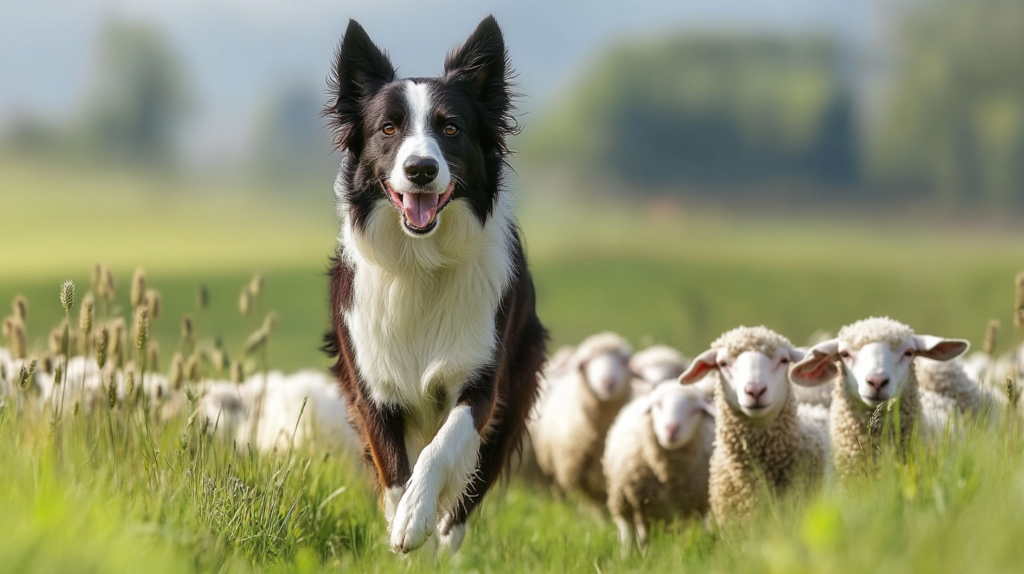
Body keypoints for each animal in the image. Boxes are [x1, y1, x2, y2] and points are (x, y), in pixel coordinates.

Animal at [323, 17, 548, 552]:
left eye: (451, 128)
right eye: (388, 128)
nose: (421, 169)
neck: (420, 261)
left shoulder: (481, 379)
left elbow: (443, 448)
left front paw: (416, 519)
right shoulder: (372, 386)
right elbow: (394, 474)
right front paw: (404, 526)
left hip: (515, 390)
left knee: (466, 499)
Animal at [598, 378, 712, 552]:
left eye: (696, 410)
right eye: (658, 405)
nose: (671, 429)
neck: (668, 473)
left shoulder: (700, 504)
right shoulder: (636, 503)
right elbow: (639, 538)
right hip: (624, 501)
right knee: (629, 533)